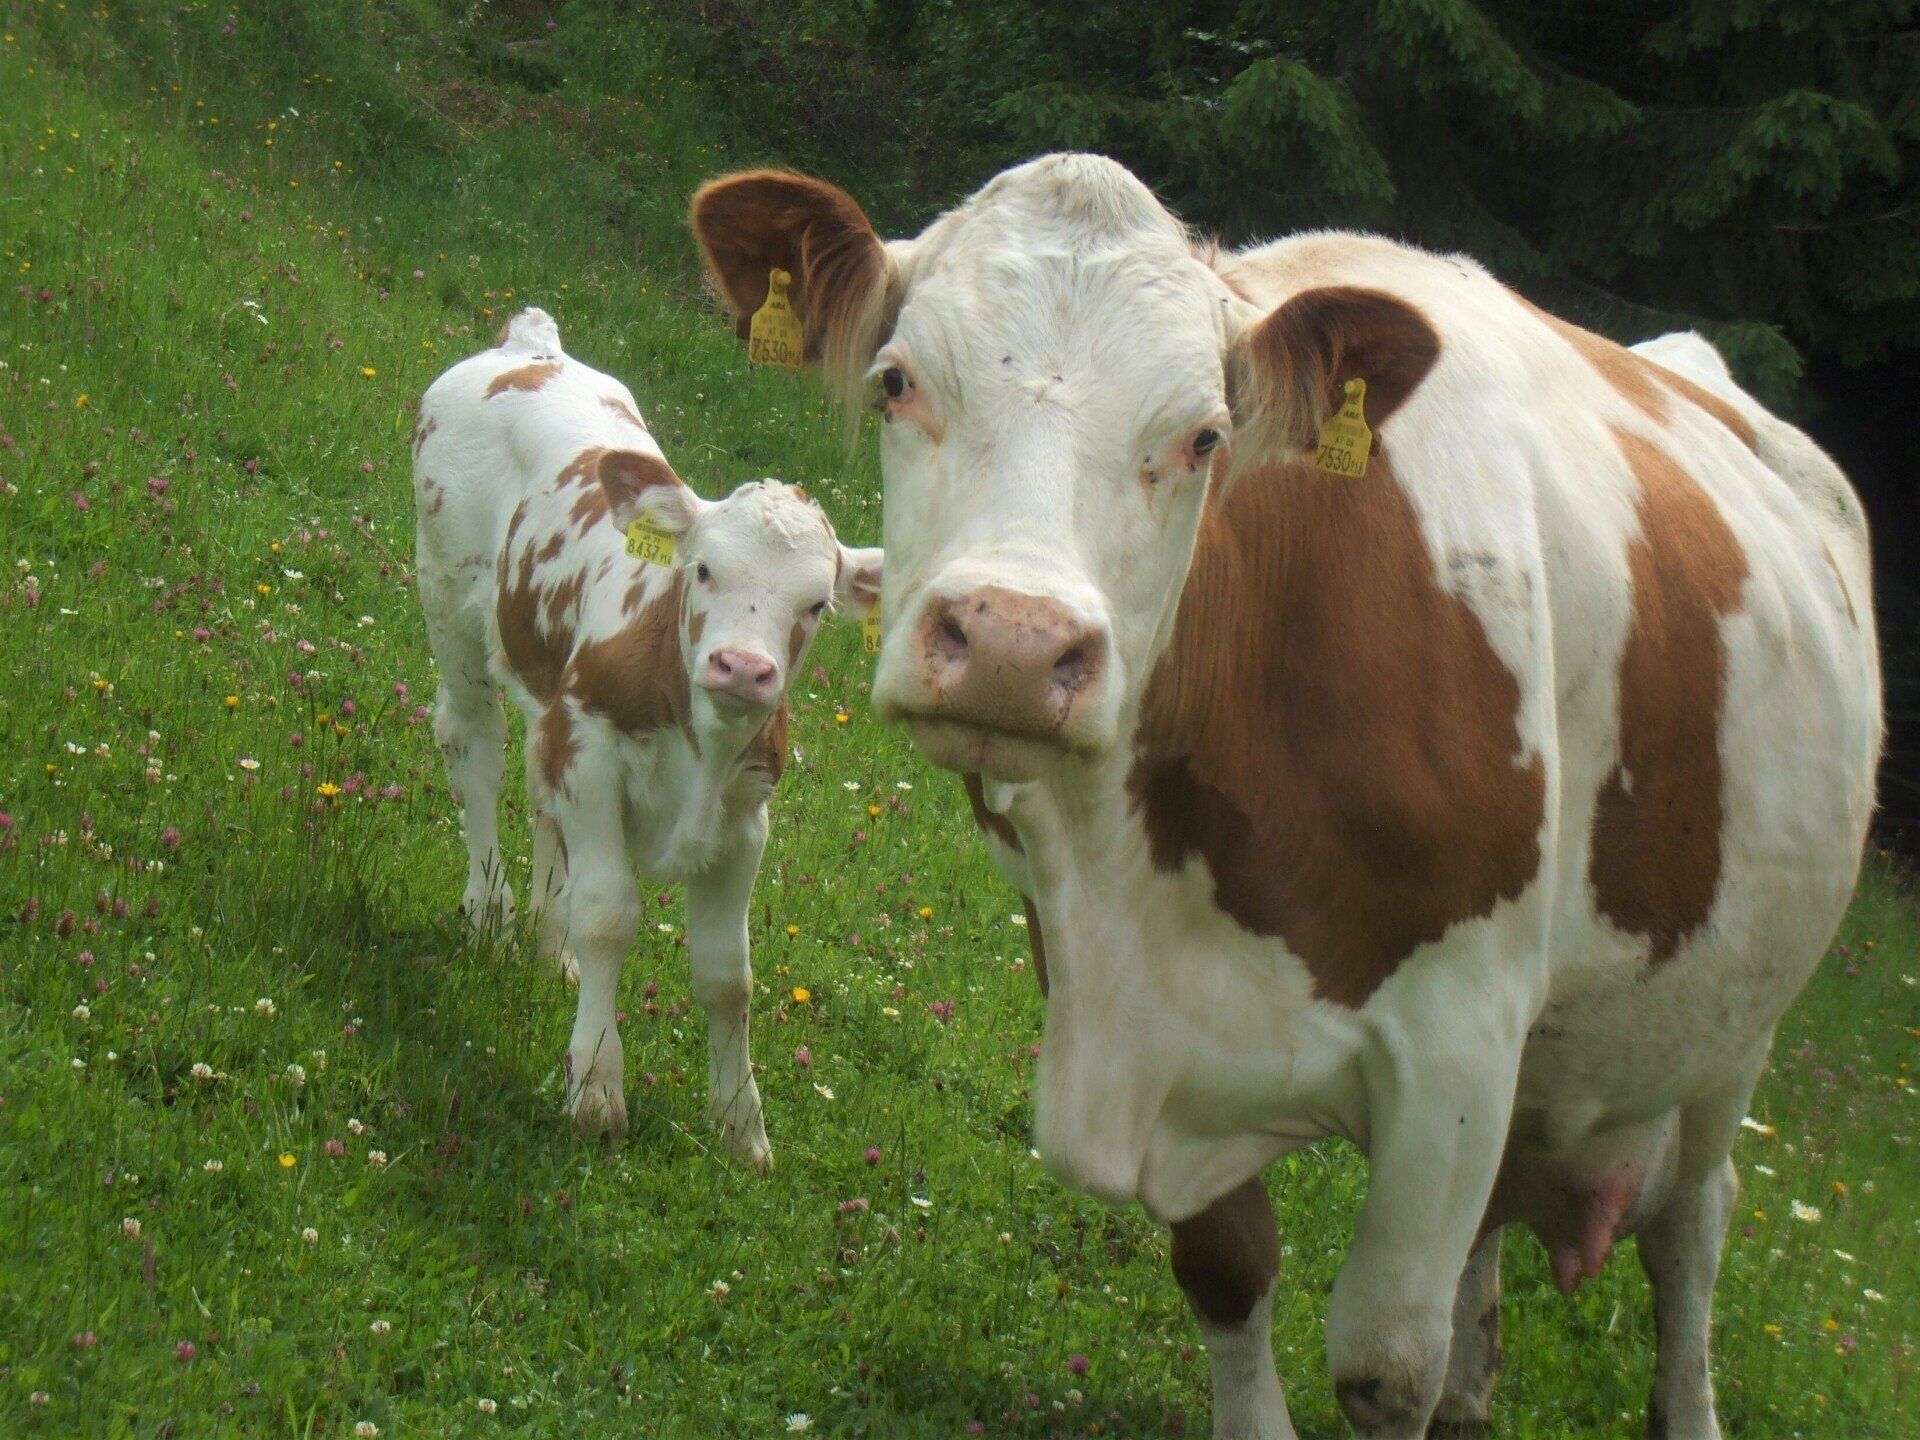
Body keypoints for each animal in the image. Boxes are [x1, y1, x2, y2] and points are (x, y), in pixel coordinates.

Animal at [412, 307, 882, 1166]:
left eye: (816, 605)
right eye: (702, 570)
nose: (743, 667)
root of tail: (532, 347)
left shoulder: (744, 819)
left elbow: (729, 975)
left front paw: (740, 1126)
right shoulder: (592, 756)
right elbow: (608, 914)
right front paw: (596, 1087)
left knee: (535, 788)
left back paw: (546, 942)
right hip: (449, 602)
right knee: (474, 749)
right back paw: (491, 912)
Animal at [691, 157, 1881, 1437]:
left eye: (1204, 436)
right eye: (897, 382)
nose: (1015, 641)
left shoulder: (1460, 1039)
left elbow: (1384, 1363)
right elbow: (1227, 1267)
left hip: (1731, 1030)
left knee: (1692, 1230)